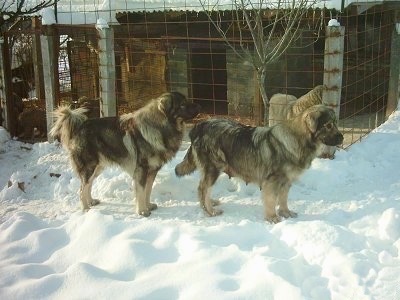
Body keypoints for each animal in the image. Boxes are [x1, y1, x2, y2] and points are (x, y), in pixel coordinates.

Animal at [50, 91, 199, 216]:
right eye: (183, 104)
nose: (199, 106)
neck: (159, 126)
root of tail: (79, 127)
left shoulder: (151, 171)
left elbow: (148, 191)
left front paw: (148, 206)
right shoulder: (142, 170)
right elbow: (141, 191)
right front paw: (142, 211)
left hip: (98, 167)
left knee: (88, 185)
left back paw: (91, 202)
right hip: (89, 167)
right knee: (81, 189)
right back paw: (85, 209)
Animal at [176, 105, 344, 223]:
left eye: (335, 124)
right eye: (329, 125)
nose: (342, 138)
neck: (298, 139)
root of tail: (199, 127)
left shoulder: (286, 181)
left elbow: (283, 199)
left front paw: (286, 213)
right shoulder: (272, 181)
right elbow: (271, 200)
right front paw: (272, 218)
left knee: (204, 189)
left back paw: (211, 204)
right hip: (213, 168)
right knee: (203, 189)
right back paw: (209, 211)